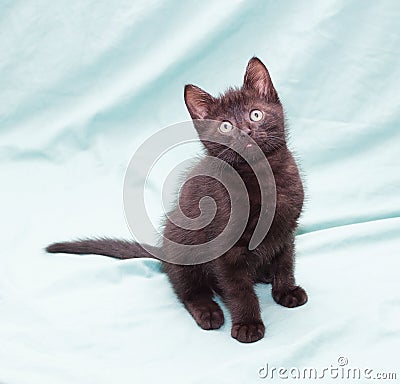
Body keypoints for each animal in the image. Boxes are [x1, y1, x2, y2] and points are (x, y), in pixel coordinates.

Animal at [47, 58, 310, 344]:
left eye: (255, 114)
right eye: (225, 126)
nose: (246, 132)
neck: (261, 176)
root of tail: (163, 250)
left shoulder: (286, 230)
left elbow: (285, 263)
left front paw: (285, 291)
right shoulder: (224, 249)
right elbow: (237, 288)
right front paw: (248, 324)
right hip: (183, 246)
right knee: (188, 290)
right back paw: (208, 310)